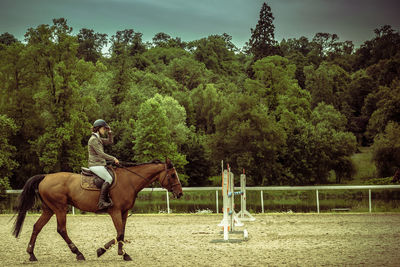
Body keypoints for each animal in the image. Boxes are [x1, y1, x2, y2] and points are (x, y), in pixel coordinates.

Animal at [10, 159, 183, 262]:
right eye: (173, 175)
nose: (180, 193)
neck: (129, 181)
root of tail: (45, 177)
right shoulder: (115, 211)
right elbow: (119, 233)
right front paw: (103, 250)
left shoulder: (124, 212)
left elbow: (121, 232)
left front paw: (122, 253)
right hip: (60, 208)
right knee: (61, 229)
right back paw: (78, 253)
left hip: (49, 210)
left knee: (37, 227)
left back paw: (32, 254)